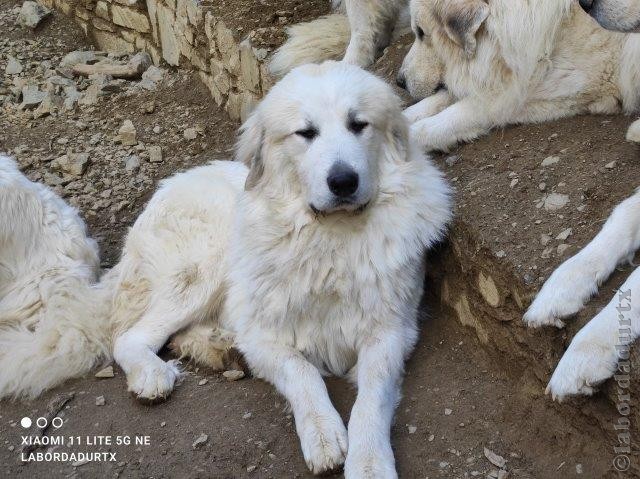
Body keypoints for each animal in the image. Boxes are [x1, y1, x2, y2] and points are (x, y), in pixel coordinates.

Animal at [0, 63, 452, 479]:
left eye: (359, 125)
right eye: (306, 133)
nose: (343, 181)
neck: (330, 240)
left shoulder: (390, 331)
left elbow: (371, 399)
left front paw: (369, 462)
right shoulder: (264, 334)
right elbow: (303, 373)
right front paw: (323, 433)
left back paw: (219, 348)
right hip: (206, 263)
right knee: (129, 337)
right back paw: (155, 373)